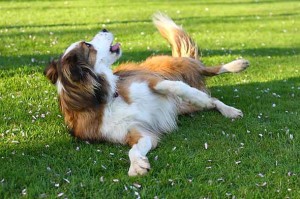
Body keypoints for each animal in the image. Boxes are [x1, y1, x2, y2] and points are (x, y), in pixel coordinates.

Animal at [44, 12, 250, 176]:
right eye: (88, 45)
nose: (104, 28)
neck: (106, 100)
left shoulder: (151, 80)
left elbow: (175, 86)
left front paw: (196, 94)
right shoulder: (138, 132)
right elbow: (134, 150)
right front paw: (137, 165)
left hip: (175, 66)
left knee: (210, 71)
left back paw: (236, 66)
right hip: (184, 107)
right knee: (212, 100)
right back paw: (227, 109)